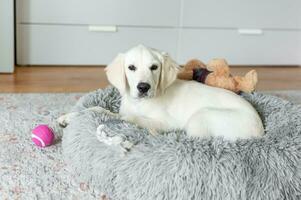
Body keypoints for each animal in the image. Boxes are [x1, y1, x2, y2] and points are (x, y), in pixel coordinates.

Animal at [58, 44, 262, 140]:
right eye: (131, 67)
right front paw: (67, 117)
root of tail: (260, 130)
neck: (140, 103)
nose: (143, 87)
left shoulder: (167, 122)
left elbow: (128, 118)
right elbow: (98, 109)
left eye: (154, 67)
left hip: (201, 117)